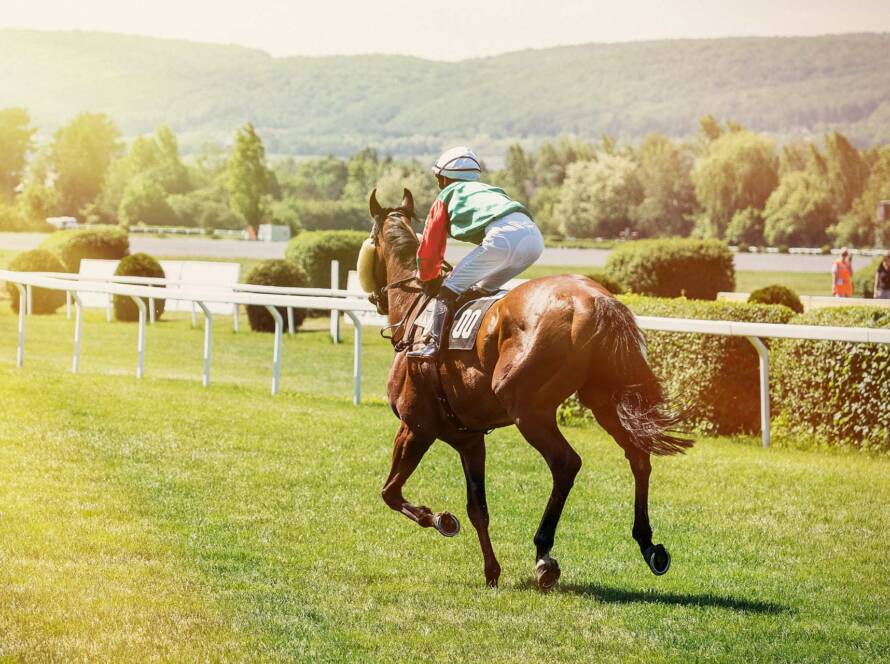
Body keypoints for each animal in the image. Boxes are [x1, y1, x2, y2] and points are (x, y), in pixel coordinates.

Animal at [365, 188, 692, 590]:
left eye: (370, 240)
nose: (375, 298)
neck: (416, 311)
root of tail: (596, 299)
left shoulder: (416, 426)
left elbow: (391, 492)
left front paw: (441, 519)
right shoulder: (468, 438)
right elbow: (478, 508)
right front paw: (491, 571)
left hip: (528, 409)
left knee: (567, 464)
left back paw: (544, 554)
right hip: (603, 398)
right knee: (638, 456)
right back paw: (648, 544)